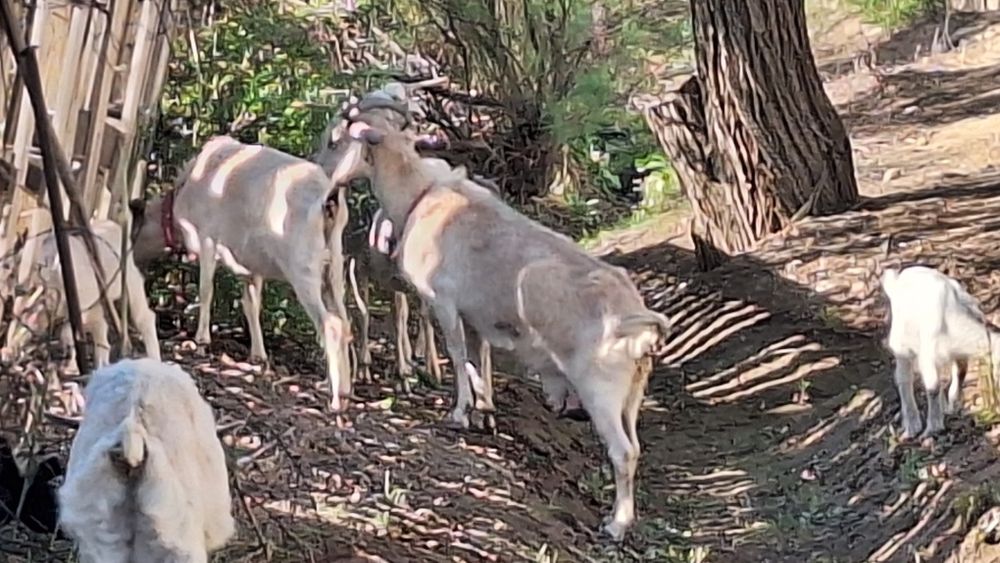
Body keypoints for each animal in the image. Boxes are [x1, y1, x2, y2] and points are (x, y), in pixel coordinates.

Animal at [0, 219, 160, 368]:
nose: (18, 290)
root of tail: (114, 225)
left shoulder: (86, 306)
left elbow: (78, 335)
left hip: (131, 280)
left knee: (144, 317)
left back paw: (154, 358)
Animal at [130, 134, 365, 411]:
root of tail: (329, 199)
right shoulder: (250, 264)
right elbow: (251, 304)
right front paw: (258, 355)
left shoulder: (207, 235)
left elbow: (206, 288)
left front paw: (201, 341)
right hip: (334, 265)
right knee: (344, 319)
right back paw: (346, 389)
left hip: (302, 266)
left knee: (331, 323)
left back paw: (337, 399)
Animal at [320, 107, 670, 541]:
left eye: (338, 139)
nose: (326, 179)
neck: (421, 196)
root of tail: (637, 318)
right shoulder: (475, 318)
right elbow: (474, 358)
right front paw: (485, 412)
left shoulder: (445, 302)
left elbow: (456, 356)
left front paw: (459, 414)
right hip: (631, 393)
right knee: (635, 447)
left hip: (600, 388)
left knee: (623, 451)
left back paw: (616, 525)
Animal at [881, 265, 1000, 440]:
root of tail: (898, 278)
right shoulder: (927, 355)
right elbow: (933, 387)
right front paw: (933, 428)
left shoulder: (958, 354)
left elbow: (960, 373)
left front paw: (952, 404)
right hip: (900, 341)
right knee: (903, 378)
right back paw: (912, 425)